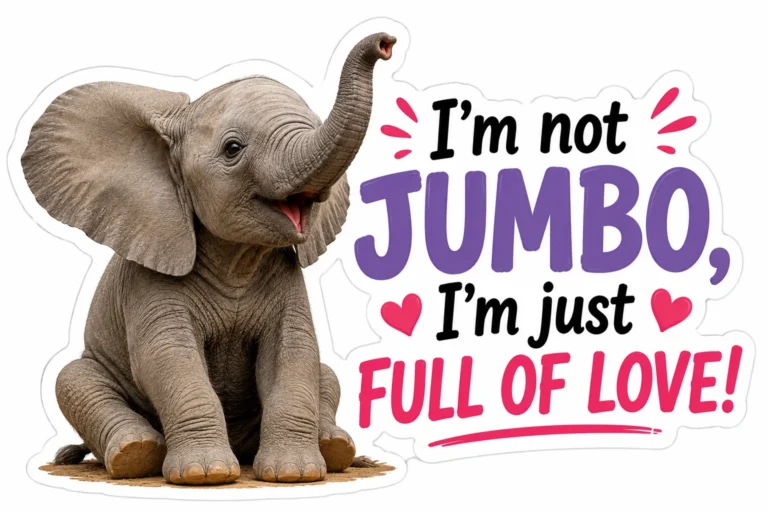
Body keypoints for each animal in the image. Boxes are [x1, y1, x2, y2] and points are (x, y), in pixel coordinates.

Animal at [21, 32, 396, 485]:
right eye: (232, 149)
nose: (385, 43)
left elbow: (293, 352)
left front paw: (295, 473)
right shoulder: (148, 276)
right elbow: (168, 356)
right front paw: (206, 475)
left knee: (326, 374)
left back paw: (336, 448)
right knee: (72, 380)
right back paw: (135, 454)